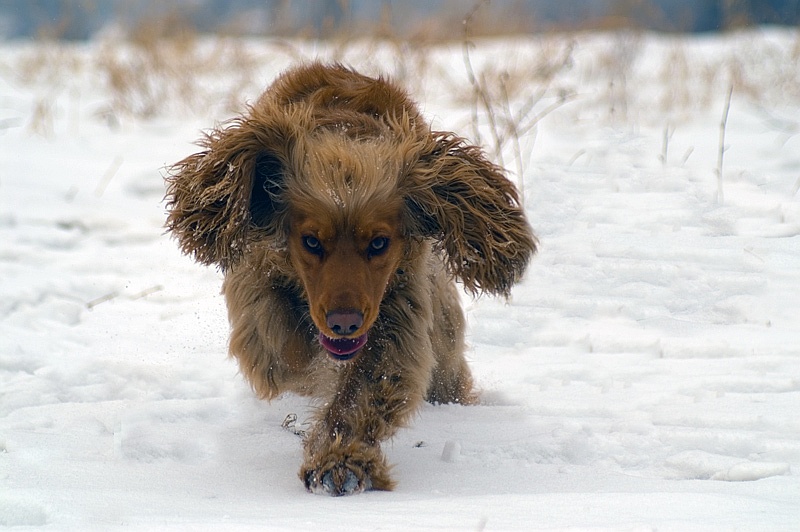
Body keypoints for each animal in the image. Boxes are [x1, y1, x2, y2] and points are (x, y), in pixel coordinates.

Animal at [163, 63, 536, 494]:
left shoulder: (399, 307)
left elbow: (366, 387)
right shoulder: (256, 285)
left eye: (378, 242)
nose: (344, 323)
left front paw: (340, 461)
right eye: (311, 241)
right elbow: (281, 350)